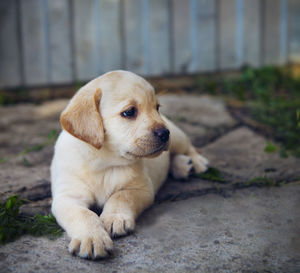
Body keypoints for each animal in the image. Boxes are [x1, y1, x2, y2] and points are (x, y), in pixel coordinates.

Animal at [51, 69, 209, 258]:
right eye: (129, 112)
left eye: (157, 108)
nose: (165, 133)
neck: (104, 162)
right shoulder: (67, 198)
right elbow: (83, 214)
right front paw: (92, 237)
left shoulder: (141, 189)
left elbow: (121, 196)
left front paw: (114, 218)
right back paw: (182, 166)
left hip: (177, 137)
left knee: (188, 147)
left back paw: (196, 162)